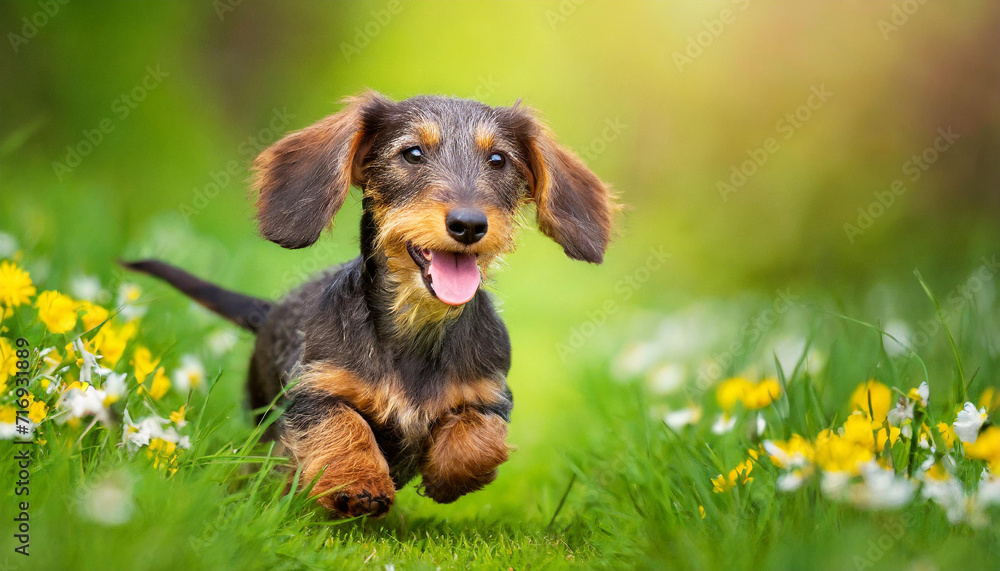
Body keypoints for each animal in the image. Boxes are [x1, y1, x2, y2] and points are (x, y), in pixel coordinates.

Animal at [122, 92, 612, 520]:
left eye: (498, 160)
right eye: (412, 153)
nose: (470, 224)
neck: (417, 326)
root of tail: (270, 311)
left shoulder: (490, 395)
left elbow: (479, 438)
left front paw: (446, 476)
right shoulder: (314, 391)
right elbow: (345, 425)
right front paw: (355, 483)